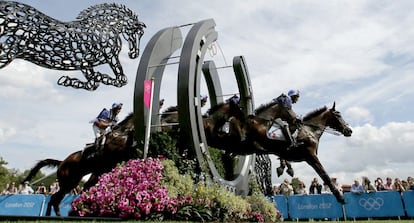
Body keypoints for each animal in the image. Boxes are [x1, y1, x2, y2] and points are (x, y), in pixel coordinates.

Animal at [0, 1, 146, 90]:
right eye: (137, 32)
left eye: (141, 34)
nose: (134, 54)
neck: (104, 28)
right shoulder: (106, 57)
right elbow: (119, 79)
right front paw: (102, 76)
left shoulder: (88, 63)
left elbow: (95, 83)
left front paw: (66, 80)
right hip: (8, 53)